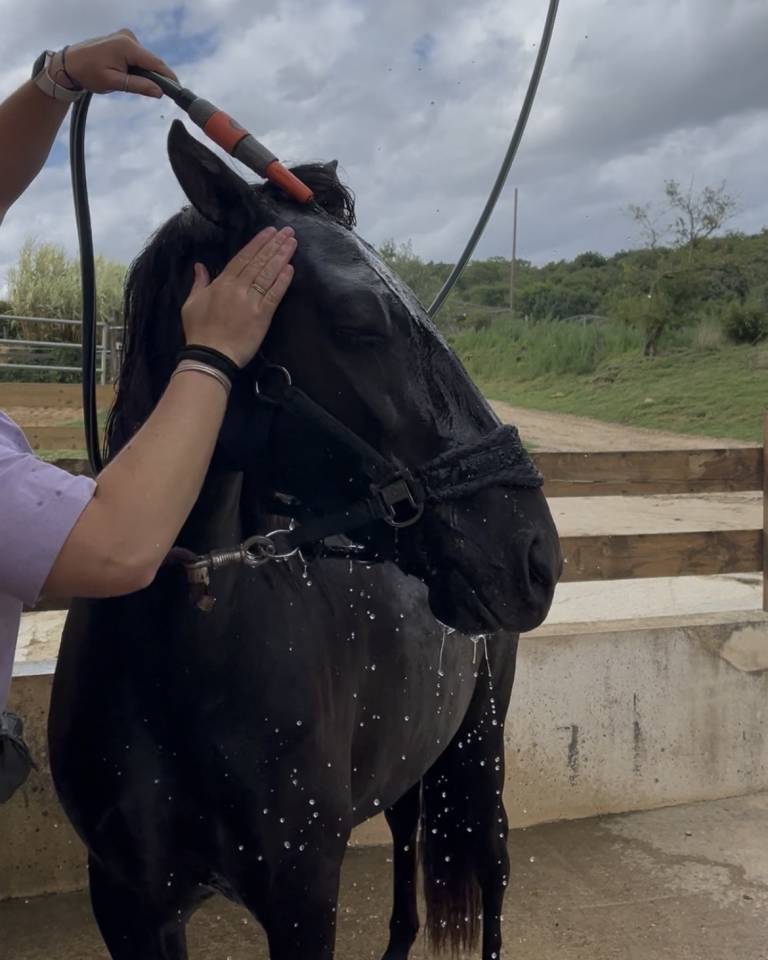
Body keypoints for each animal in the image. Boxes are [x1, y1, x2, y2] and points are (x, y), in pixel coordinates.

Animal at [49, 119, 561, 960]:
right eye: (359, 322)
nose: (536, 555)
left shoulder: (302, 897)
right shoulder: (128, 904)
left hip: (481, 747)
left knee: (493, 865)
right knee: (411, 846)